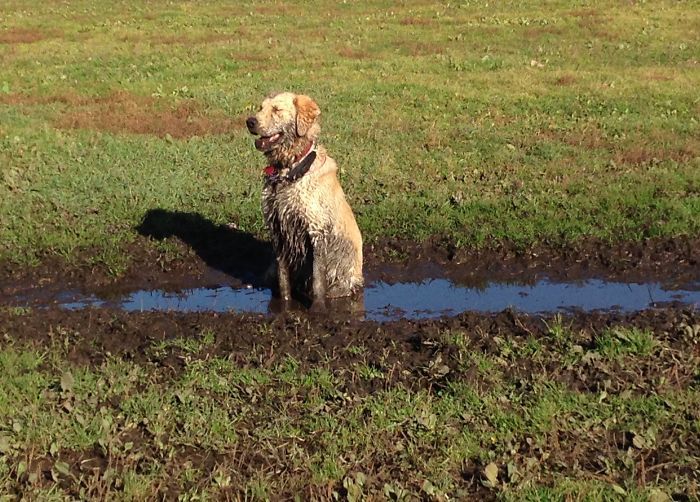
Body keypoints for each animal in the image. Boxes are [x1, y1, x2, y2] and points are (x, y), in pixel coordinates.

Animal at [246, 91, 364, 310]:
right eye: (260, 108)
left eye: (277, 109)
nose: (250, 121)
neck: (288, 170)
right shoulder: (278, 227)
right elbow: (283, 276)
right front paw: (285, 304)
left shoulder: (316, 229)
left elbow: (318, 278)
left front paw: (317, 309)